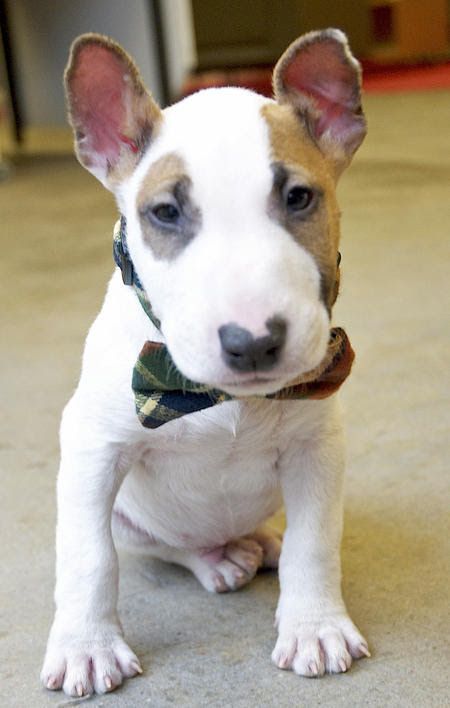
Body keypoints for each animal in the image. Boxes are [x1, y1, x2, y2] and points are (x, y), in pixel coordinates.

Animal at [41, 29, 370, 696]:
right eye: (165, 212)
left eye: (299, 197)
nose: (253, 342)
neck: (217, 398)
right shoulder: (92, 449)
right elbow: (89, 557)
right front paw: (87, 647)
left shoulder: (318, 450)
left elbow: (316, 543)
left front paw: (315, 627)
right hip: (130, 518)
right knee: (170, 547)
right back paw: (219, 561)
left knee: (276, 536)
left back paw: (263, 543)